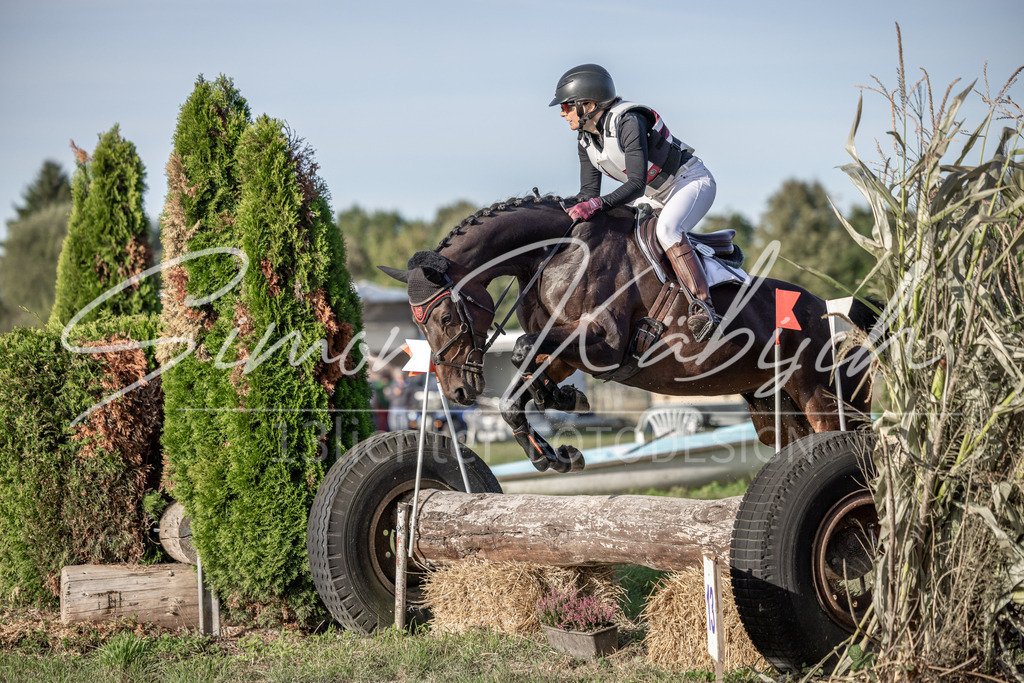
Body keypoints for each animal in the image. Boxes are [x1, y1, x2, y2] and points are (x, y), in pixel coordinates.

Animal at [379, 195, 876, 473]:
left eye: (444, 318)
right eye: (418, 323)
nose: (457, 392)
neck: (556, 252)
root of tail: (826, 308)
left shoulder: (605, 344)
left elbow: (521, 349)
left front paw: (557, 404)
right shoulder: (569, 350)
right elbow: (515, 391)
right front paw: (554, 449)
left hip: (815, 392)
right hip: (772, 406)